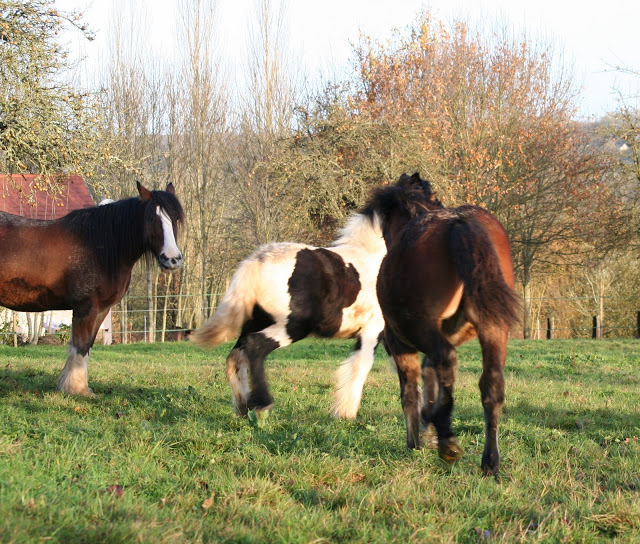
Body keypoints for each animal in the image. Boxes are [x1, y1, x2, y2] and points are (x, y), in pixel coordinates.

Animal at [0, 183, 184, 396]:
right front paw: (77, 389)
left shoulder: (101, 309)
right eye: (152, 219)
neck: (99, 248)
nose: (172, 259)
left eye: (175, 218)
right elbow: (80, 346)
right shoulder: (85, 306)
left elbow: (87, 345)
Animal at [190, 210, 388, 418]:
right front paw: (345, 413)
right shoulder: (373, 330)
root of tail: (257, 260)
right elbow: (361, 365)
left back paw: (243, 406)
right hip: (293, 327)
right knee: (253, 346)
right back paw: (261, 403)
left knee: (236, 356)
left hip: (257, 323)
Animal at [364, 173, 520, 476]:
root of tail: (459, 222)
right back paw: (490, 462)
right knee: (491, 386)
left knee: (447, 363)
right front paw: (430, 426)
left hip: (423, 330)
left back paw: (448, 443)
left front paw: (417, 440)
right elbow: (429, 378)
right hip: (493, 328)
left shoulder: (400, 343)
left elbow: (410, 392)